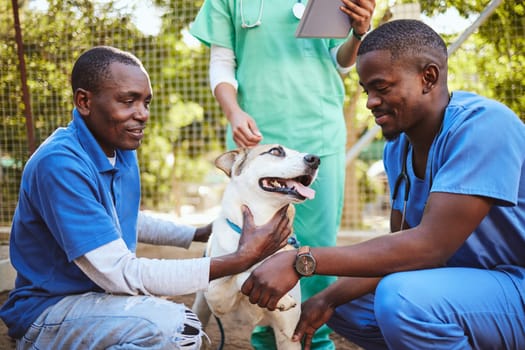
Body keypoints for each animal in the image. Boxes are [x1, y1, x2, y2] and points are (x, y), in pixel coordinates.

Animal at [190, 144, 318, 348]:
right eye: (276, 151)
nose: (316, 159)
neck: (261, 222)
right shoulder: (217, 298)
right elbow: (242, 276)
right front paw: (280, 296)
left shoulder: (288, 336)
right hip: (201, 306)